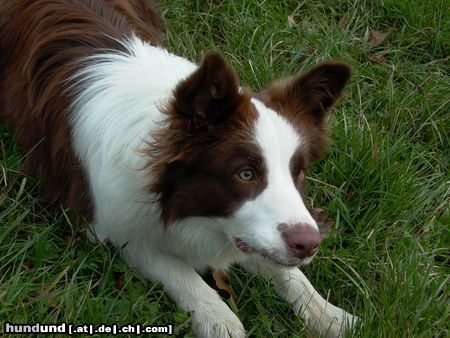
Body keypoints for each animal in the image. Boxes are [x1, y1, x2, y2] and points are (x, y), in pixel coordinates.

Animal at [0, 1, 358, 336]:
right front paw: (219, 319)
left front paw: (330, 315)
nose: (309, 244)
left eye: (298, 173)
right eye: (246, 173)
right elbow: (179, 271)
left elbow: (287, 272)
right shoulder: (113, 229)